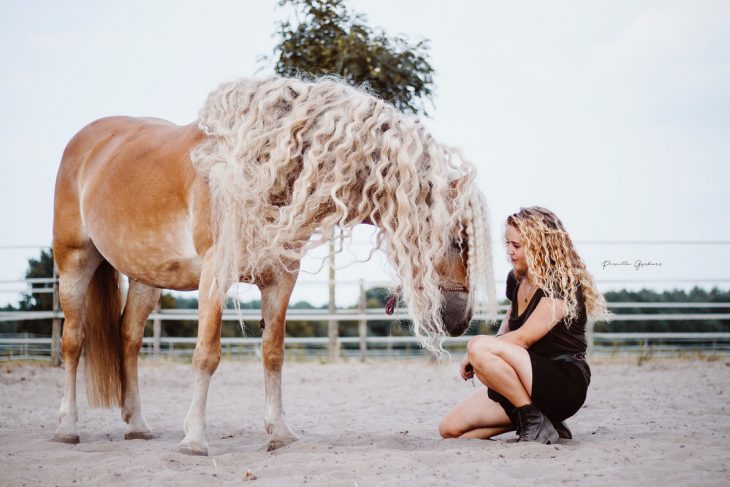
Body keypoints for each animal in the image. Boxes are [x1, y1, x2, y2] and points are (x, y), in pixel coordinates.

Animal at [49, 76, 494, 458]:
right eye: (456, 241)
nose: (461, 320)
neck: (266, 166)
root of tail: (85, 142)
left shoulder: (281, 279)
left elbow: (273, 354)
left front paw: (279, 434)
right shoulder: (215, 274)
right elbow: (206, 355)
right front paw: (194, 440)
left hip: (146, 276)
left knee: (128, 339)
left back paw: (137, 425)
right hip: (75, 262)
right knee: (73, 342)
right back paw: (67, 428)